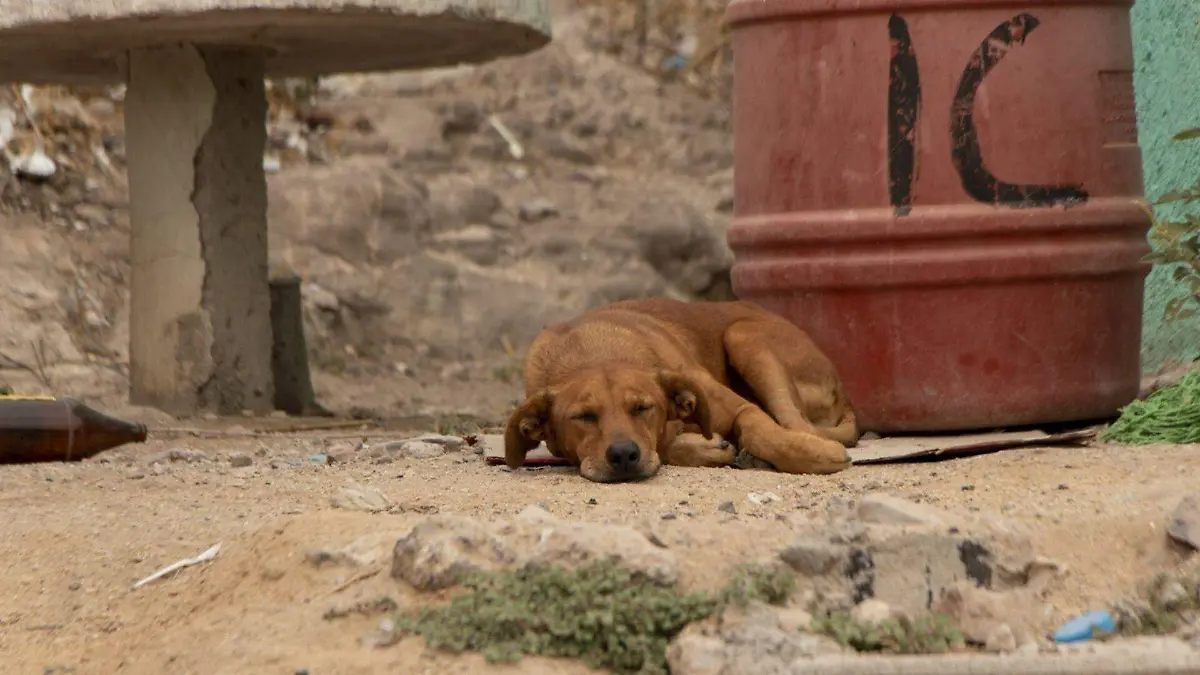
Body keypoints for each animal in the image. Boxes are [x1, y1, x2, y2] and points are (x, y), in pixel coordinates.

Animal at [501, 296, 859, 480]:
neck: (593, 351)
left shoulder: (740, 408)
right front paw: (708, 447)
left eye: (643, 408)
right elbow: (668, 445)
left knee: (796, 424)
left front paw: (814, 457)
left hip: (743, 336)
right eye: (584, 417)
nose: (623, 455)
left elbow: (762, 430)